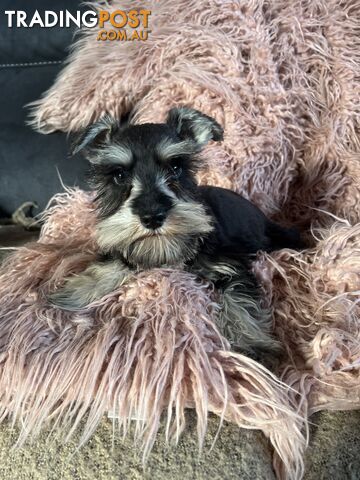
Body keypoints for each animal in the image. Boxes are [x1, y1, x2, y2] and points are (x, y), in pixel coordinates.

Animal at [49, 108, 304, 356]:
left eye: (175, 167)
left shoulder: (232, 266)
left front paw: (253, 346)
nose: (152, 216)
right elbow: (112, 265)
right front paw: (75, 290)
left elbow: (241, 303)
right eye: (120, 175)